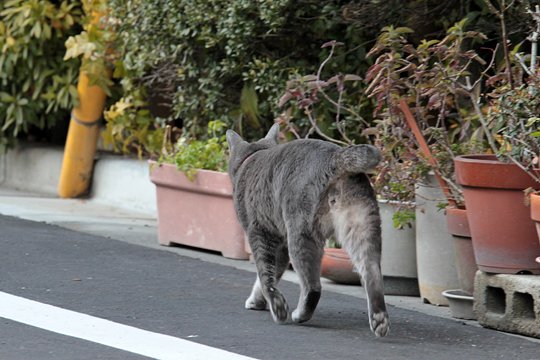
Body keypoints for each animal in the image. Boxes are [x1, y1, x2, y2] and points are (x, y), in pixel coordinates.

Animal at [226, 124, 390, 338]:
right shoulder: (280, 244)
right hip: (361, 225)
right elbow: (271, 275)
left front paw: (275, 307)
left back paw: (299, 314)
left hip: (301, 233)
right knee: (373, 274)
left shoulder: (261, 233)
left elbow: (266, 276)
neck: (254, 155)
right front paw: (258, 301)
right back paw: (379, 320)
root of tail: (336, 156)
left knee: (313, 287)